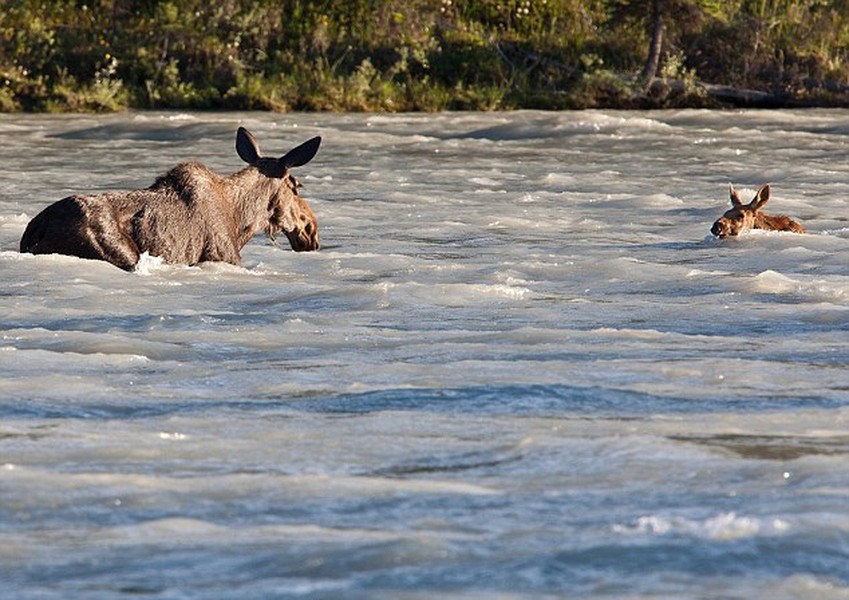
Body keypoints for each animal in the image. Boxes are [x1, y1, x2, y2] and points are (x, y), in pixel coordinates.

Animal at [20, 127, 324, 270]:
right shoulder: (222, 256)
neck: (242, 222)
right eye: (296, 186)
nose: (311, 230)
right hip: (118, 252)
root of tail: (35, 229)